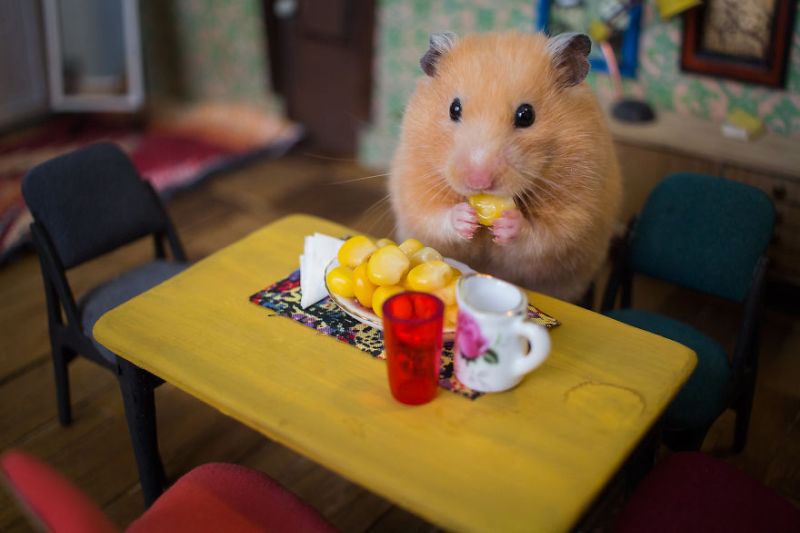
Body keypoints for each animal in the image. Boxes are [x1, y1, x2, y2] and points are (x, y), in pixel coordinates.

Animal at [390, 31, 620, 302]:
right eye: (453, 109)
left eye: (526, 115)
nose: (478, 181)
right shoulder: (415, 181)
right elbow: (432, 216)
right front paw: (465, 217)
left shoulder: (576, 208)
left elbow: (544, 235)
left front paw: (507, 224)